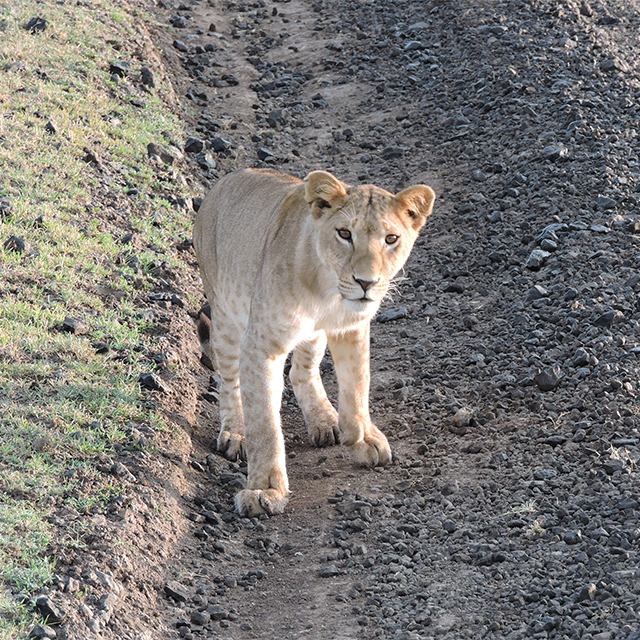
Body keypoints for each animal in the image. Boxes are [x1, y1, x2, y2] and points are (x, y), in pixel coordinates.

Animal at [193, 168, 435, 516]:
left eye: (391, 239)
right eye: (344, 233)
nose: (366, 283)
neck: (328, 291)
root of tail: (224, 181)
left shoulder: (352, 327)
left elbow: (357, 385)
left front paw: (361, 440)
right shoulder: (261, 343)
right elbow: (265, 422)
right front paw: (265, 490)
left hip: (312, 335)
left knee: (301, 371)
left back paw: (324, 421)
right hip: (225, 315)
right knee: (229, 378)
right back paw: (235, 433)